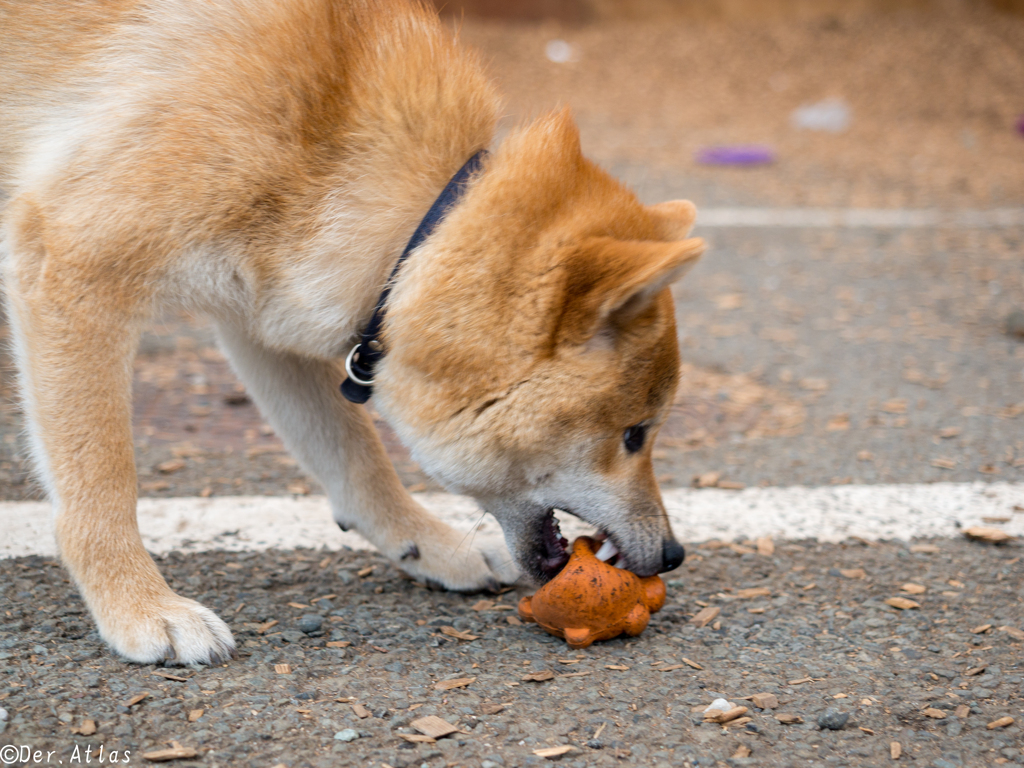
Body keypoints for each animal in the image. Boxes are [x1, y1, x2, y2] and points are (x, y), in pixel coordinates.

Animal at [0, 0, 704, 663]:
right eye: (635, 434)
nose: (674, 554)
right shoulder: (75, 272)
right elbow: (102, 485)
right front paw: (139, 606)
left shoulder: (263, 318)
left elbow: (357, 461)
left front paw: (431, 546)